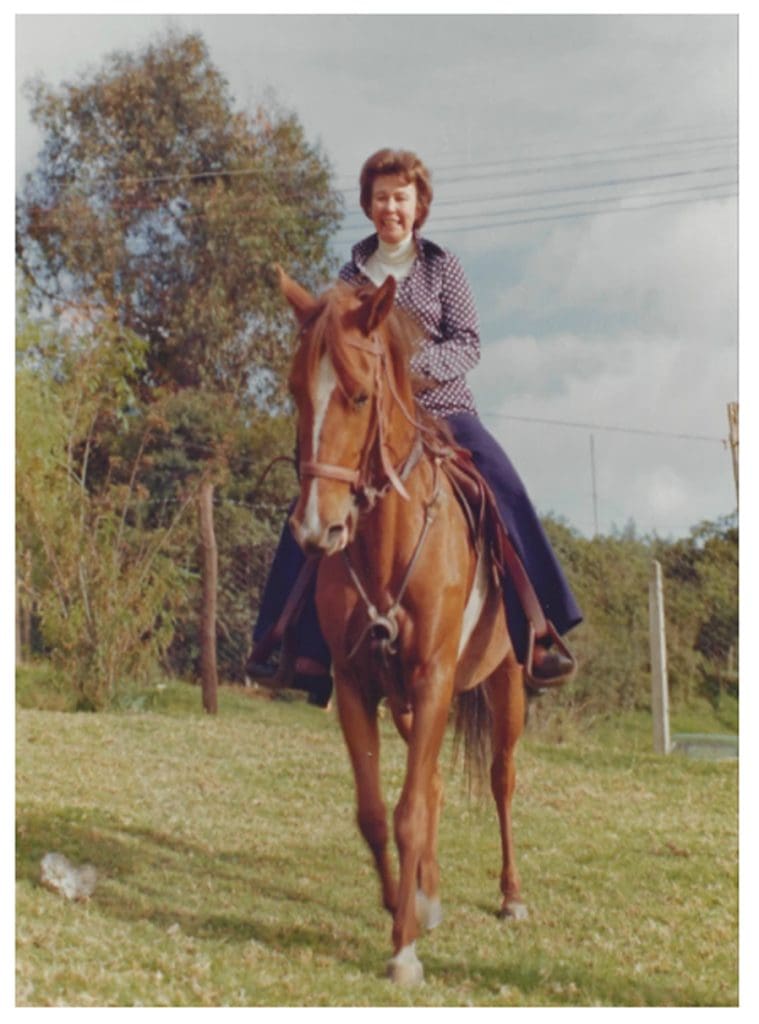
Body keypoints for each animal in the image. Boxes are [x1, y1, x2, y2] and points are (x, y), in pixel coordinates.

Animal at [280, 268, 528, 987]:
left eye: (360, 395)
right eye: (295, 392)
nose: (317, 529)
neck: (386, 545)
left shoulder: (435, 675)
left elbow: (410, 810)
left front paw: (404, 952)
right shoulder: (357, 684)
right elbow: (373, 813)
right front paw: (402, 909)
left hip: (505, 685)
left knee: (501, 780)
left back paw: (510, 896)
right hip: (407, 705)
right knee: (439, 781)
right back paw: (429, 895)